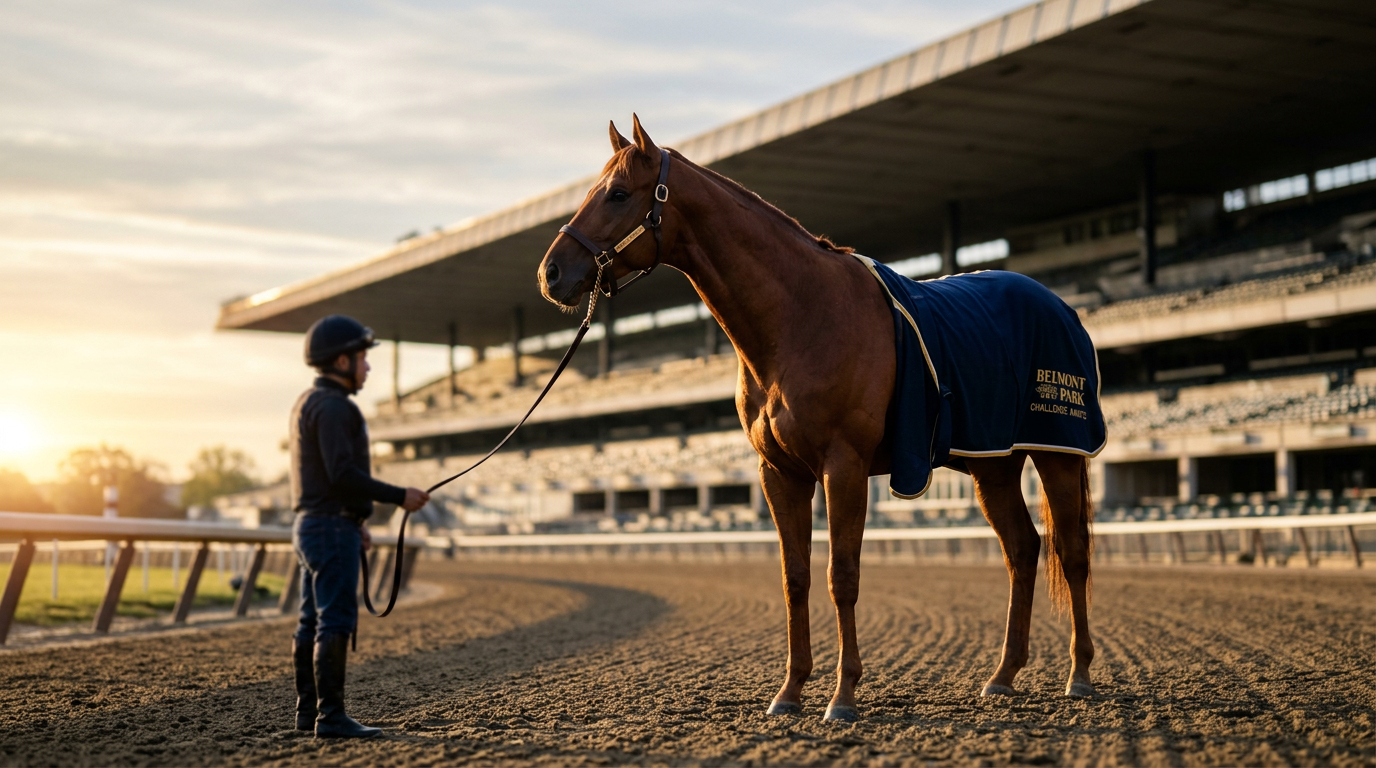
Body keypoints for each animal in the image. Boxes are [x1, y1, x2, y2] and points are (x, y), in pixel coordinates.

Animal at [537, 116, 1098, 722]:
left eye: (618, 193)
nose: (551, 273)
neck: (801, 317)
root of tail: (1061, 307)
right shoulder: (781, 474)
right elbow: (796, 578)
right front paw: (790, 691)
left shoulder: (843, 467)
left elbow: (841, 576)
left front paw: (843, 696)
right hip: (993, 465)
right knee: (1022, 550)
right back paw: (1002, 677)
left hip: (1057, 455)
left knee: (1072, 553)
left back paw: (1080, 675)